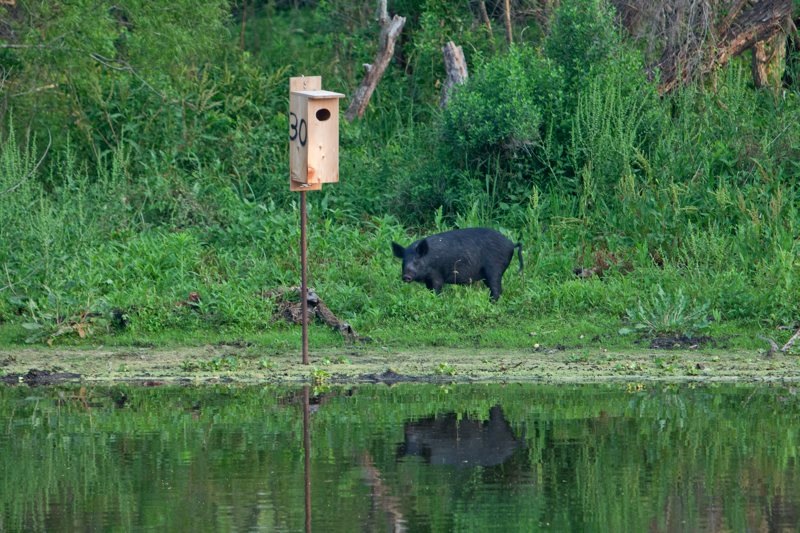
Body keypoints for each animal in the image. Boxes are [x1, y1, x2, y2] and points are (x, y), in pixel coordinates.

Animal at [391, 228, 523, 302]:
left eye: (416, 261)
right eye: (403, 262)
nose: (406, 276)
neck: (429, 260)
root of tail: (511, 244)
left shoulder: (437, 275)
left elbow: (437, 289)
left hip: (495, 269)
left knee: (497, 289)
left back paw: (492, 303)